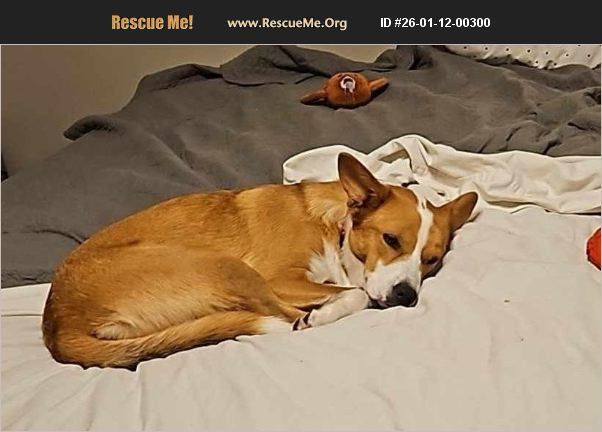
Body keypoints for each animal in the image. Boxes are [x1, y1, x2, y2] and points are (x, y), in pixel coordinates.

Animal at [42, 153, 477, 369]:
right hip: (228, 268)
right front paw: (328, 309)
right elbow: (356, 293)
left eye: (431, 260)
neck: (334, 226)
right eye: (391, 240)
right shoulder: (278, 277)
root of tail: (58, 324)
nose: (406, 296)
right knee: (281, 316)